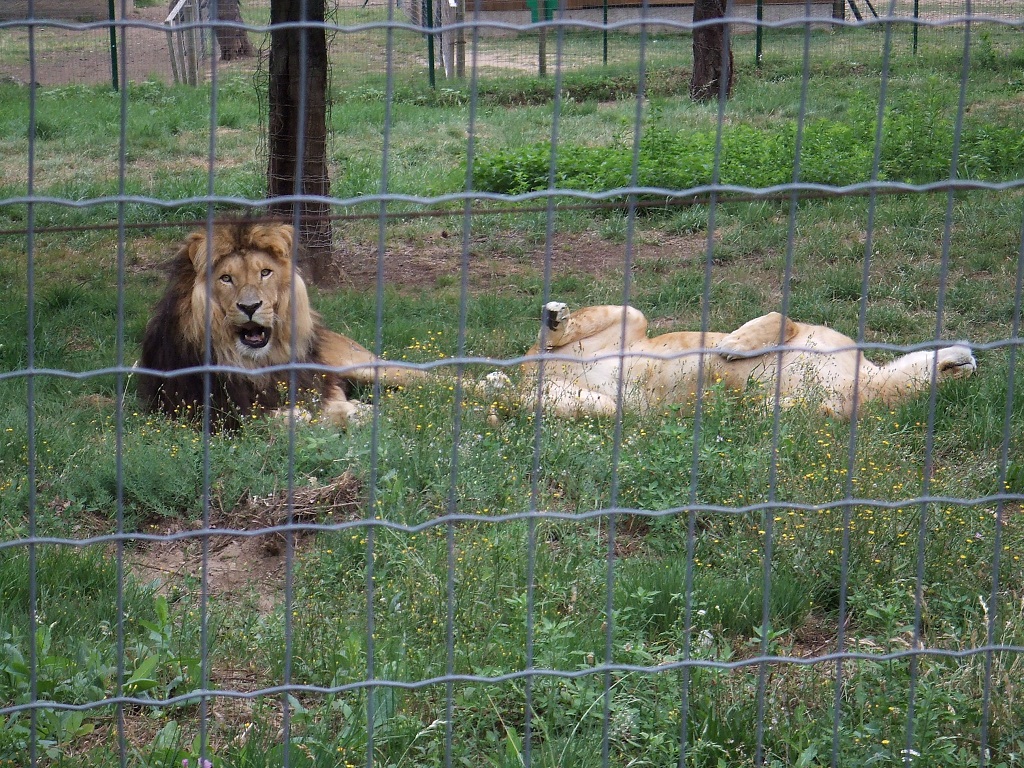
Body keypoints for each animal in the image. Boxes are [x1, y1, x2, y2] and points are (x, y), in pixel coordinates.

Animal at [138, 219, 421, 430]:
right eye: (226, 278)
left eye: (265, 273)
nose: (250, 306)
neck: (260, 362)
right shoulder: (208, 410)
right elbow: (289, 417)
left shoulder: (319, 383)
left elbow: (333, 401)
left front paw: (357, 411)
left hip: (362, 365)